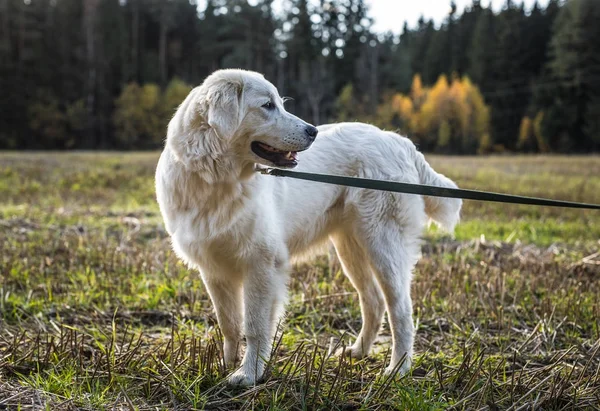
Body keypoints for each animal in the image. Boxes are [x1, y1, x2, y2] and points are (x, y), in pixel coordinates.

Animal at [154, 68, 460, 386]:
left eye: (279, 103)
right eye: (267, 106)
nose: (312, 131)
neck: (216, 180)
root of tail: (399, 141)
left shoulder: (262, 264)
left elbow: (255, 326)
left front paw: (249, 374)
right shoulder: (214, 270)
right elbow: (229, 324)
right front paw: (224, 366)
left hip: (383, 245)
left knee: (400, 309)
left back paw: (398, 368)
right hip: (351, 248)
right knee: (373, 301)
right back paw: (358, 352)